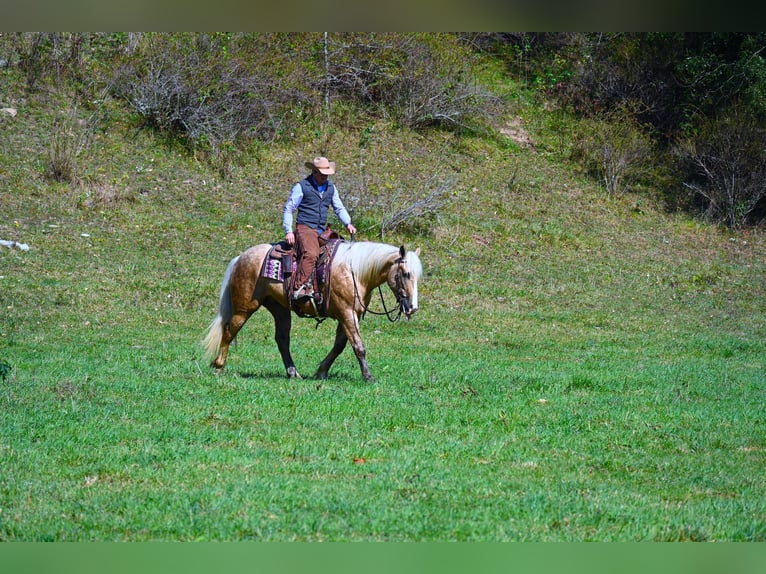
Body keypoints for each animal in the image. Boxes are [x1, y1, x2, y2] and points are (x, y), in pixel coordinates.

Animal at [201, 241, 424, 384]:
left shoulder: (348, 315)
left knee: (282, 340)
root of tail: (240, 257)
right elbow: (358, 346)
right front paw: (368, 377)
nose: (412, 307)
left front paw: (321, 371)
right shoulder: (347, 313)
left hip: (280, 309)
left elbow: (339, 346)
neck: (355, 271)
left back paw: (293, 373)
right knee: (229, 330)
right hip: (244, 307)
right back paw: (218, 366)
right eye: (406, 274)